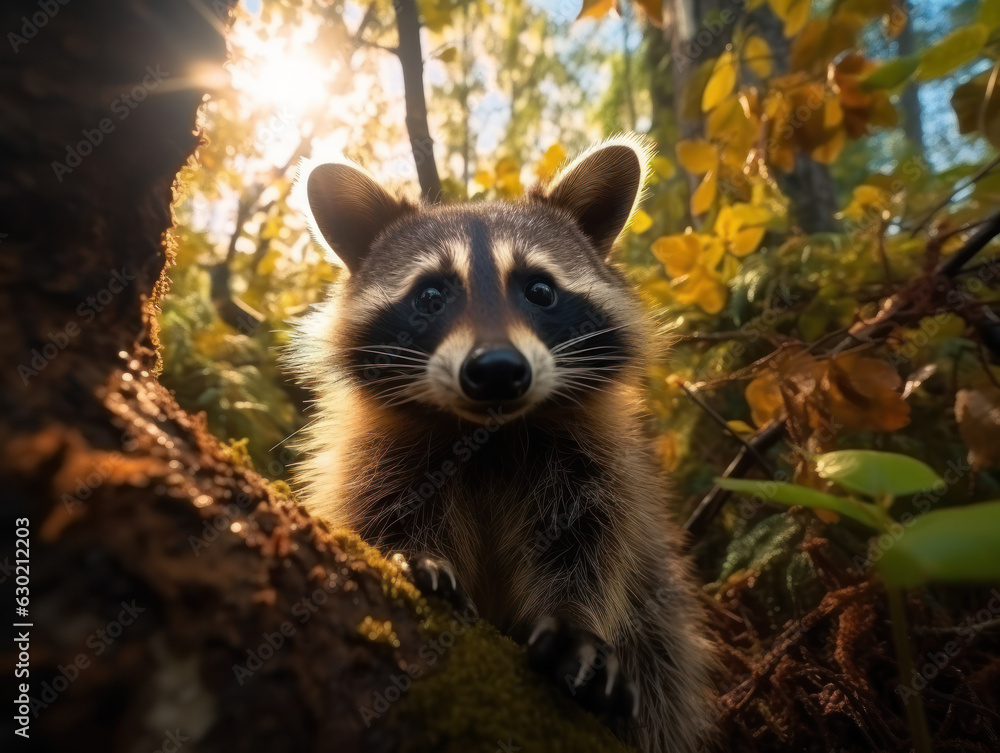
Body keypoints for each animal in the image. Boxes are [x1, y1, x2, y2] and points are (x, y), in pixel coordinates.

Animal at [292, 137, 716, 753]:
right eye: (431, 295)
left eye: (539, 290)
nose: (496, 370)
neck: (489, 436)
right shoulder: (378, 457)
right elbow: (375, 510)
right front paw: (411, 552)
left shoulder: (592, 464)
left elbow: (591, 545)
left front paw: (575, 621)